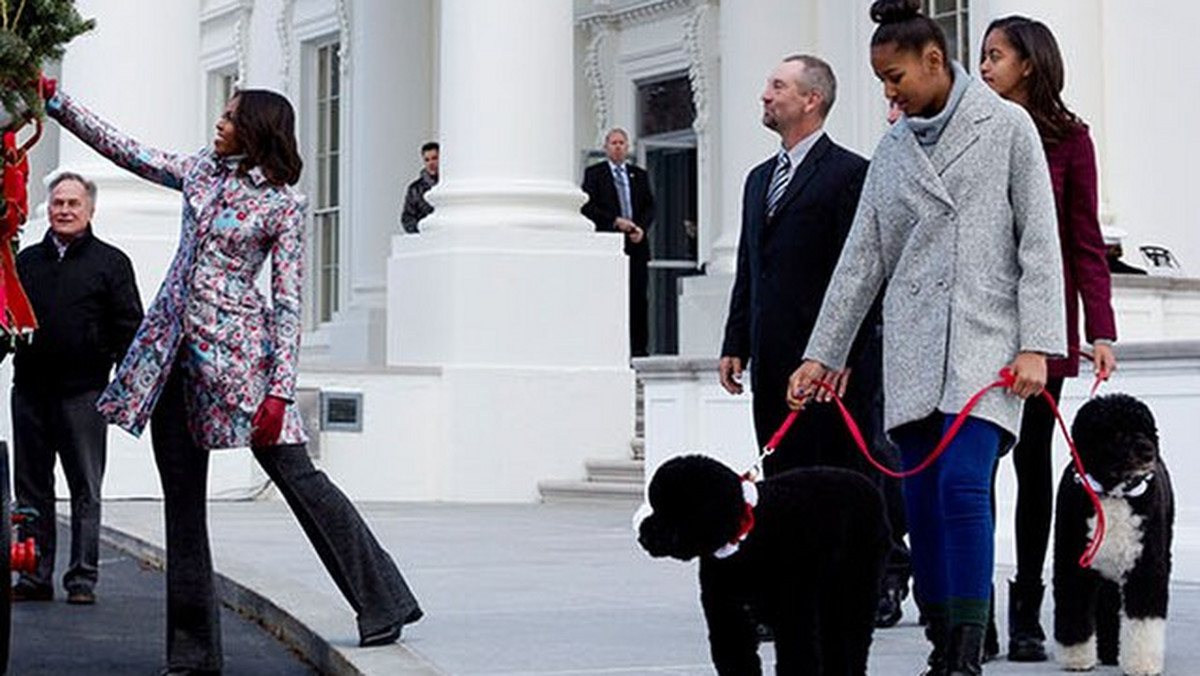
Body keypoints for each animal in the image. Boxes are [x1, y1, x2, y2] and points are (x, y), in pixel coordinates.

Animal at [638, 453, 892, 676]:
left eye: (673, 508)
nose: (643, 536)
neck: (746, 539)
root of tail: (869, 486)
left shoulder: (793, 608)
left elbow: (797, 657)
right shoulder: (727, 611)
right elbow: (736, 658)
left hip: (856, 586)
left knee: (853, 641)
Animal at [1056, 393, 1176, 672]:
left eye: (1145, 429)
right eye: (1117, 432)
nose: (1148, 451)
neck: (1113, 493)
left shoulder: (1145, 564)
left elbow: (1143, 618)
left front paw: (1142, 663)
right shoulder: (1073, 563)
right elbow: (1074, 607)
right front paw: (1077, 658)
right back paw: (1108, 651)